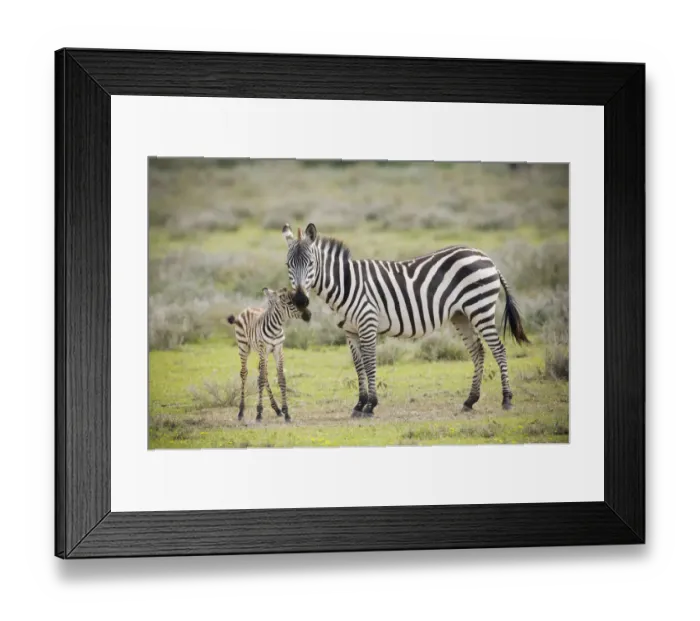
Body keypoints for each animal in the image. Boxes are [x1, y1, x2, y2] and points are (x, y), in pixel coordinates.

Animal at [227, 287, 311, 423]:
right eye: (290, 303)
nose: (309, 315)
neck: (276, 329)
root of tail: (247, 309)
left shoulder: (278, 350)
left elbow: (281, 378)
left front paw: (286, 412)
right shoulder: (264, 349)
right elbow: (261, 379)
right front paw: (259, 413)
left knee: (263, 372)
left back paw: (277, 409)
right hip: (244, 346)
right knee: (244, 373)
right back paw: (241, 411)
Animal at [282, 223, 530, 418]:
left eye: (311, 263)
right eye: (288, 265)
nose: (301, 299)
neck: (347, 283)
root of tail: (486, 257)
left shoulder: (368, 323)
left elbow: (370, 363)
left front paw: (370, 405)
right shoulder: (350, 331)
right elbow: (359, 366)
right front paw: (359, 404)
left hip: (480, 308)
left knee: (499, 350)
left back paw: (507, 399)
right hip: (461, 315)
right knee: (478, 351)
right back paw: (470, 401)